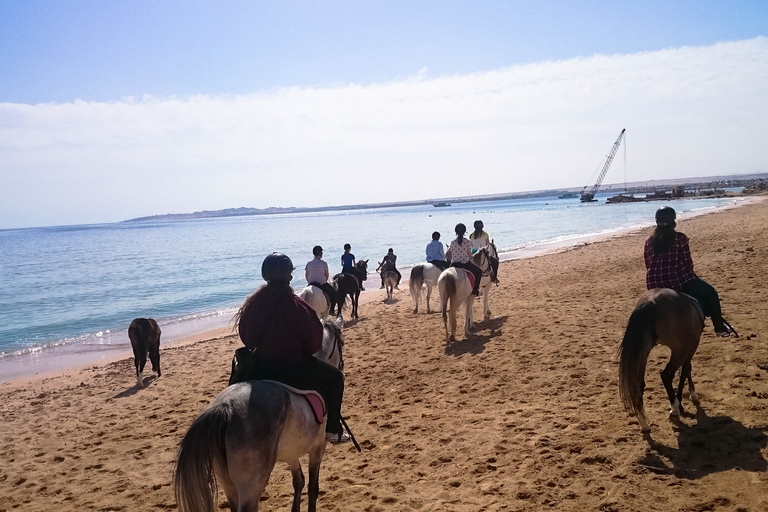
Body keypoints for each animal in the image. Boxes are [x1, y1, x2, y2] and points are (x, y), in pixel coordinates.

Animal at [176, 316, 346, 512]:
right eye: (342, 343)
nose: (342, 367)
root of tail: (225, 408)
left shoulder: (291, 452)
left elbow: (299, 481)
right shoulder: (318, 446)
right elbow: (312, 488)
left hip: (228, 483)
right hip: (252, 484)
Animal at [616, 288, 704, 432]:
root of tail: (652, 301)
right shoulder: (692, 345)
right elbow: (686, 369)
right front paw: (690, 397)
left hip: (644, 350)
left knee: (638, 383)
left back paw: (643, 422)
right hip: (680, 349)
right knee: (667, 374)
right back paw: (674, 409)